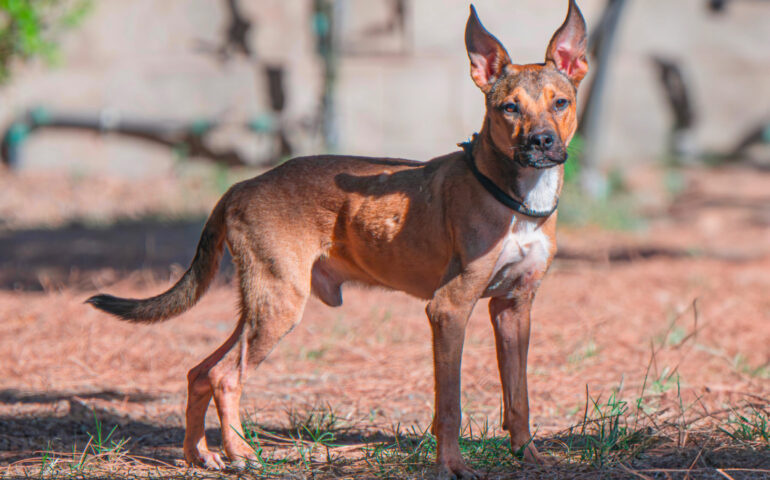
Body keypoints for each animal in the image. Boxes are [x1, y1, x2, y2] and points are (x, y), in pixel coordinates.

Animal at [85, 2, 588, 476]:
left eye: (560, 103)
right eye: (510, 108)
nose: (542, 142)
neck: (514, 198)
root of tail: (242, 185)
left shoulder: (514, 307)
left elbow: (519, 397)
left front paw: (530, 456)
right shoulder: (448, 309)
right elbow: (449, 405)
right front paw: (452, 466)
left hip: (261, 305)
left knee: (200, 372)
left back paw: (199, 455)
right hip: (280, 304)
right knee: (226, 376)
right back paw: (241, 453)